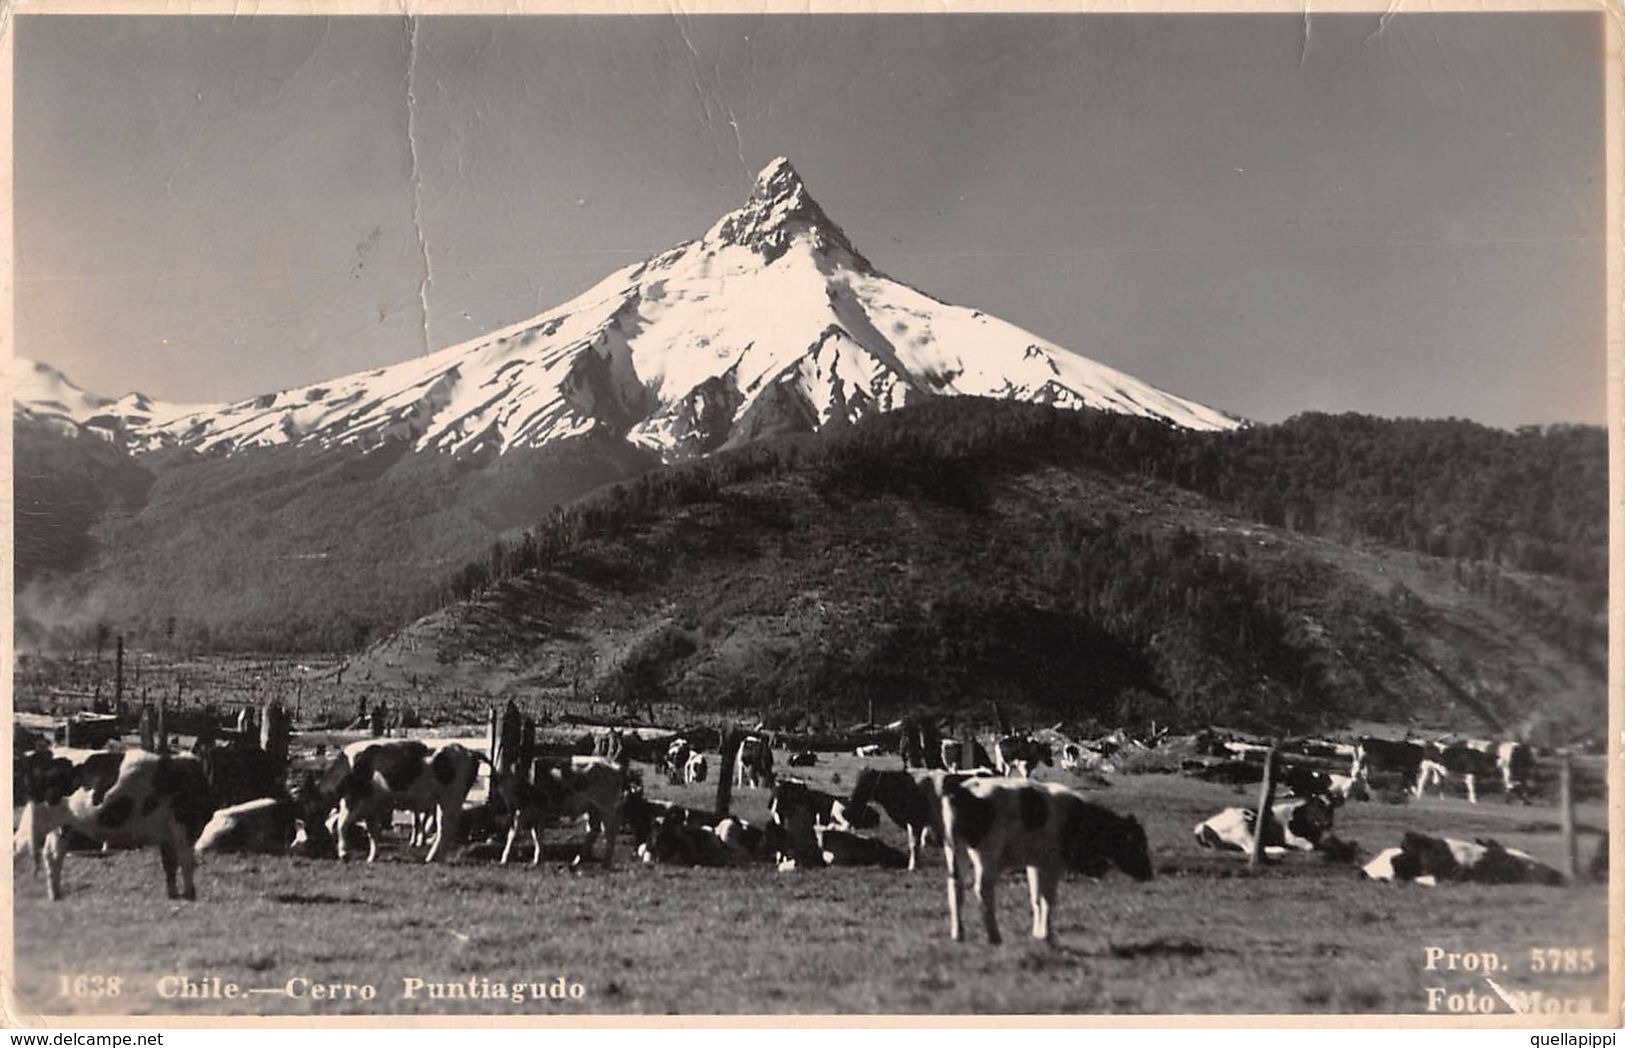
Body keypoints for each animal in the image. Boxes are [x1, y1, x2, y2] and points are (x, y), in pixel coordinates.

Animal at [14, 744, 216, 896]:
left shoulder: (168, 834)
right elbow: (186, 862)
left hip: (61, 826)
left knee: (52, 856)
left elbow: (170, 865)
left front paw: (173, 894)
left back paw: (55, 894)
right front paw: (190, 894)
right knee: (20, 848)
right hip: (40, 821)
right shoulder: (183, 828)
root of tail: (40, 755)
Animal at [490, 750, 624, 864]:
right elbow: (537, 835)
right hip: (593, 810)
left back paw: (605, 863)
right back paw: (577, 861)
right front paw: (538, 860)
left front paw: (504, 859)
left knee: (610, 832)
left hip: (605, 808)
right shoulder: (538, 812)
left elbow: (512, 834)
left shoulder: (522, 810)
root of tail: (614, 766)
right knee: (594, 830)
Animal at [936, 776, 1150, 942]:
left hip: (954, 850)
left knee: (955, 888)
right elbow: (1048, 899)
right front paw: (1047, 935)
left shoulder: (1035, 864)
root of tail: (964, 790)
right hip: (985, 855)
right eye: (1136, 843)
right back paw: (994, 937)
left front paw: (1037, 933)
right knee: (982, 889)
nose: (1149, 874)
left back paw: (958, 934)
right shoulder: (1052, 864)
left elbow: (1036, 898)